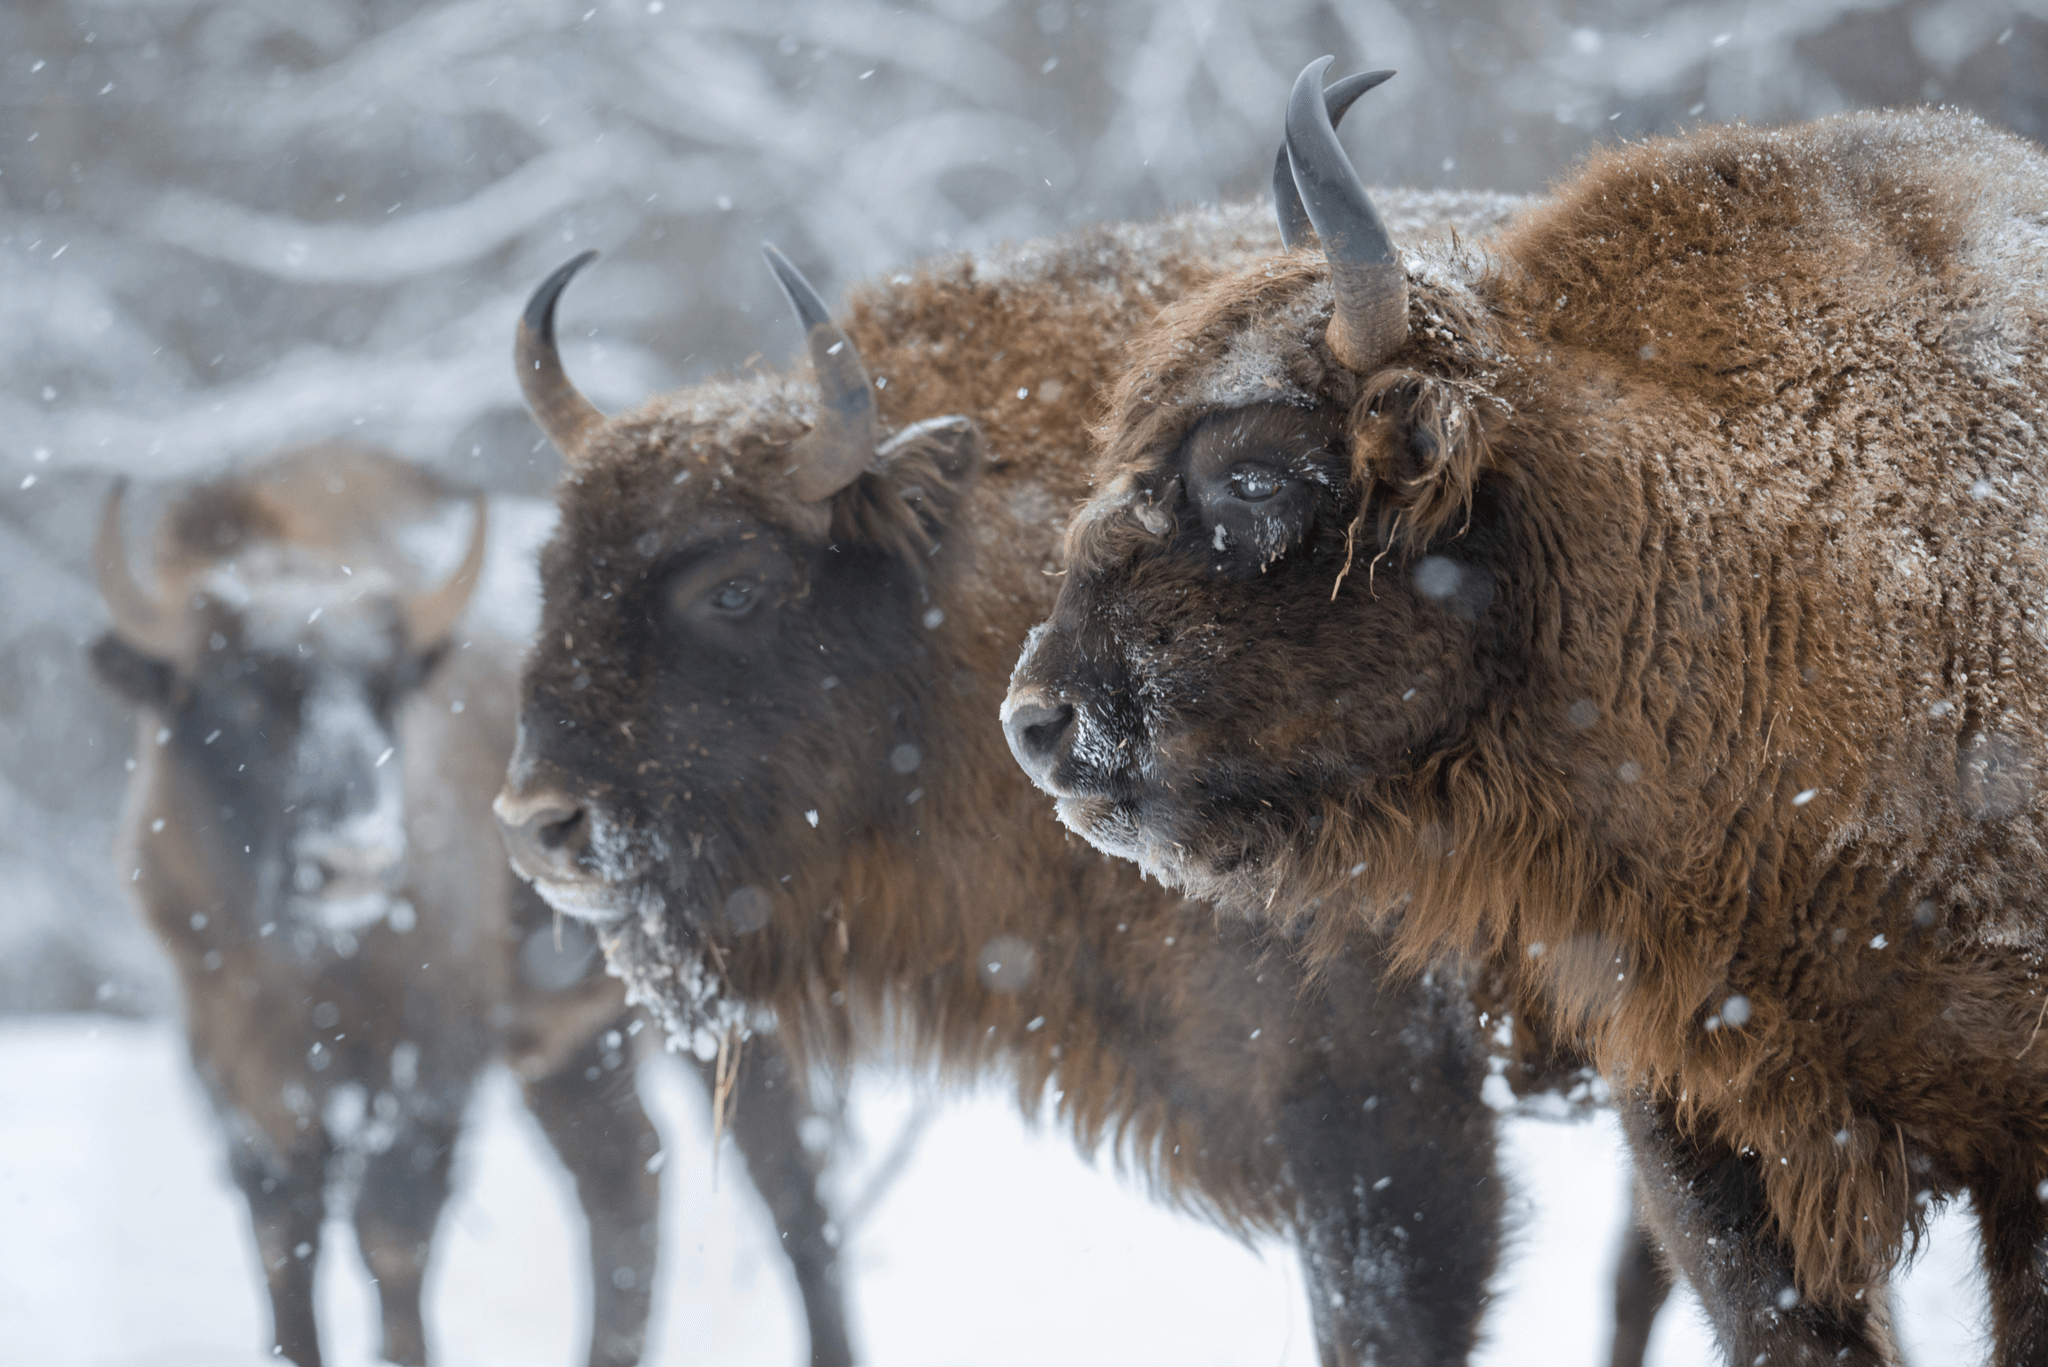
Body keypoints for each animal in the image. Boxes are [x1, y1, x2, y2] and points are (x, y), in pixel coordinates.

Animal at [90, 448, 847, 1367]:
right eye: (235, 692)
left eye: (385, 691)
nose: (357, 862)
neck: (307, 967)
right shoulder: (241, 1079)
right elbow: (285, 1243)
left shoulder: (429, 1070)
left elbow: (392, 1238)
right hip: (575, 1046)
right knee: (626, 1182)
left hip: (735, 1018)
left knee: (791, 1184)